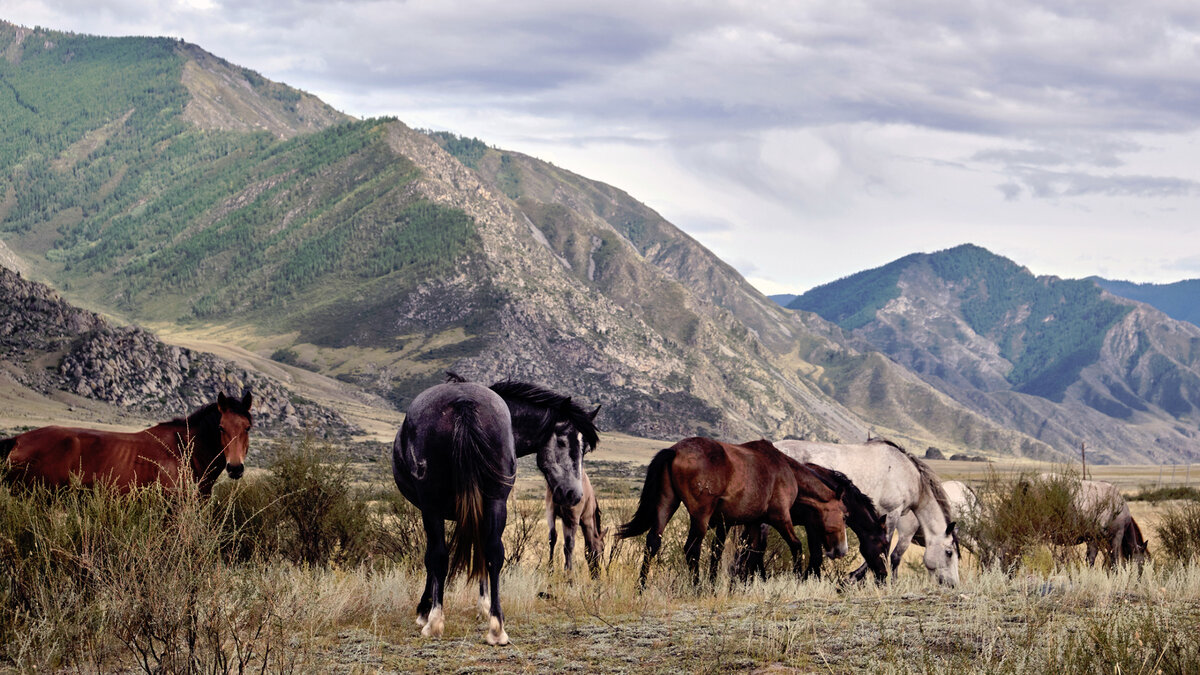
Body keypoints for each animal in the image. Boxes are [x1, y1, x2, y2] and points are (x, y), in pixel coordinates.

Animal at [393, 374, 600, 643]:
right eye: (563, 441)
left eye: (585, 448)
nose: (574, 495)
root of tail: (463, 402)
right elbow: (482, 552)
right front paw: (484, 607)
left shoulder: (433, 510)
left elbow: (433, 558)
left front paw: (425, 610)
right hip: (495, 501)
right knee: (493, 551)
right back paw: (497, 627)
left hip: (434, 507)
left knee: (439, 555)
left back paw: (435, 622)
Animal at [619, 437, 854, 588]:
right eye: (844, 515)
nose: (841, 550)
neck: (787, 471)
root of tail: (675, 450)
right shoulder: (780, 518)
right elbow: (795, 547)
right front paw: (797, 580)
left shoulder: (750, 522)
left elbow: (746, 553)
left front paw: (737, 584)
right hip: (700, 516)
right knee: (691, 548)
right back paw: (696, 588)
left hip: (666, 504)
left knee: (653, 542)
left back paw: (641, 588)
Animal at [772, 437, 960, 583]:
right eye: (949, 553)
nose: (953, 584)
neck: (907, 473)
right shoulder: (892, 512)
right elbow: (885, 545)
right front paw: (854, 579)